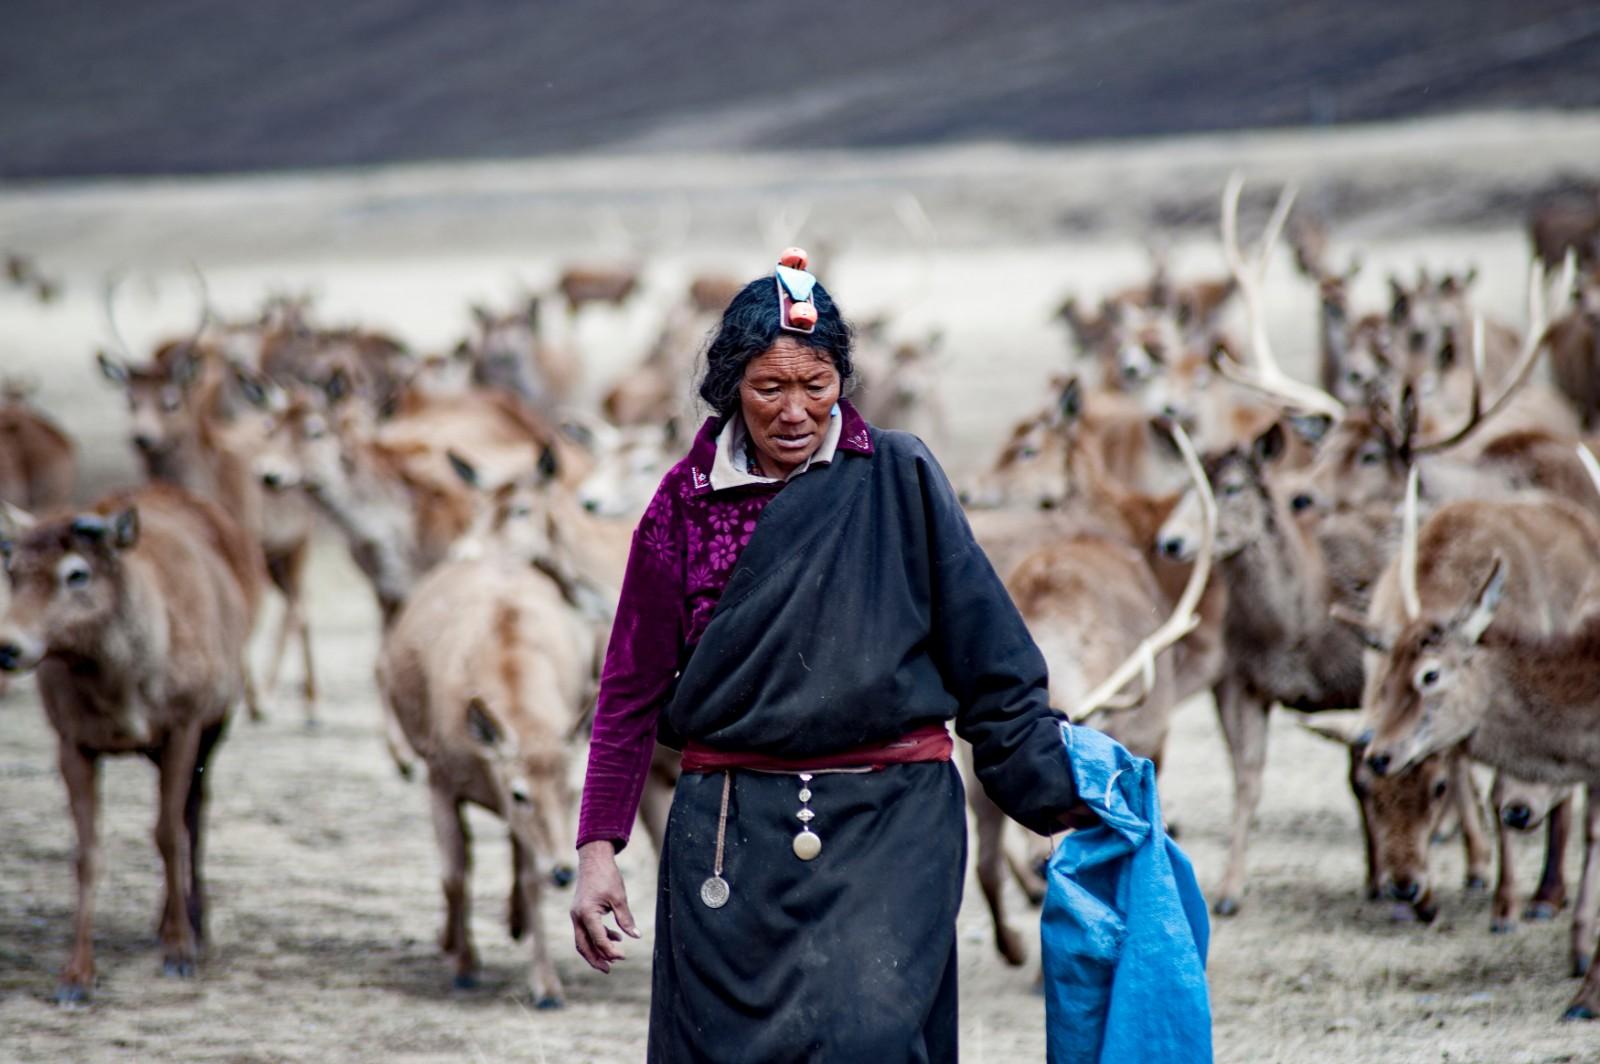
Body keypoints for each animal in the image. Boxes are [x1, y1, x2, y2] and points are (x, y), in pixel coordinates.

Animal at [0, 486, 259, 998]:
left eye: (77, 573)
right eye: (12, 570)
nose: (8, 646)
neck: (124, 689)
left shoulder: (184, 723)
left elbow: (167, 834)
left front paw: (180, 952)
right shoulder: (70, 739)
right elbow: (87, 853)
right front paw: (76, 975)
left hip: (217, 719)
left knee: (194, 814)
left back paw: (195, 923)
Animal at [377, 444, 601, 1004]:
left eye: (574, 788)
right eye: (519, 791)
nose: (565, 870)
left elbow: (526, 875)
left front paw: (545, 984)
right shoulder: (439, 778)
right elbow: (454, 873)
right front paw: (462, 961)